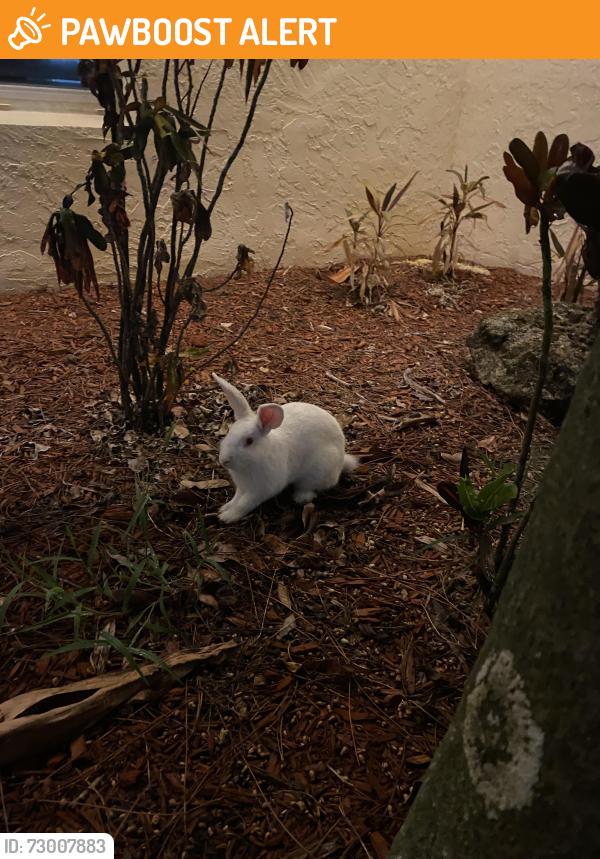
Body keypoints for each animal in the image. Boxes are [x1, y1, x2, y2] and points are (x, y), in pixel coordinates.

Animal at [212, 373, 359, 523]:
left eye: (249, 441)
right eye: (229, 431)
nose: (224, 460)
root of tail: (341, 460)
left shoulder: (259, 490)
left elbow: (243, 504)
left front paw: (226, 516)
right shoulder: (242, 487)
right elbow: (236, 499)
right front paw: (224, 508)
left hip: (318, 471)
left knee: (310, 487)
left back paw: (301, 497)